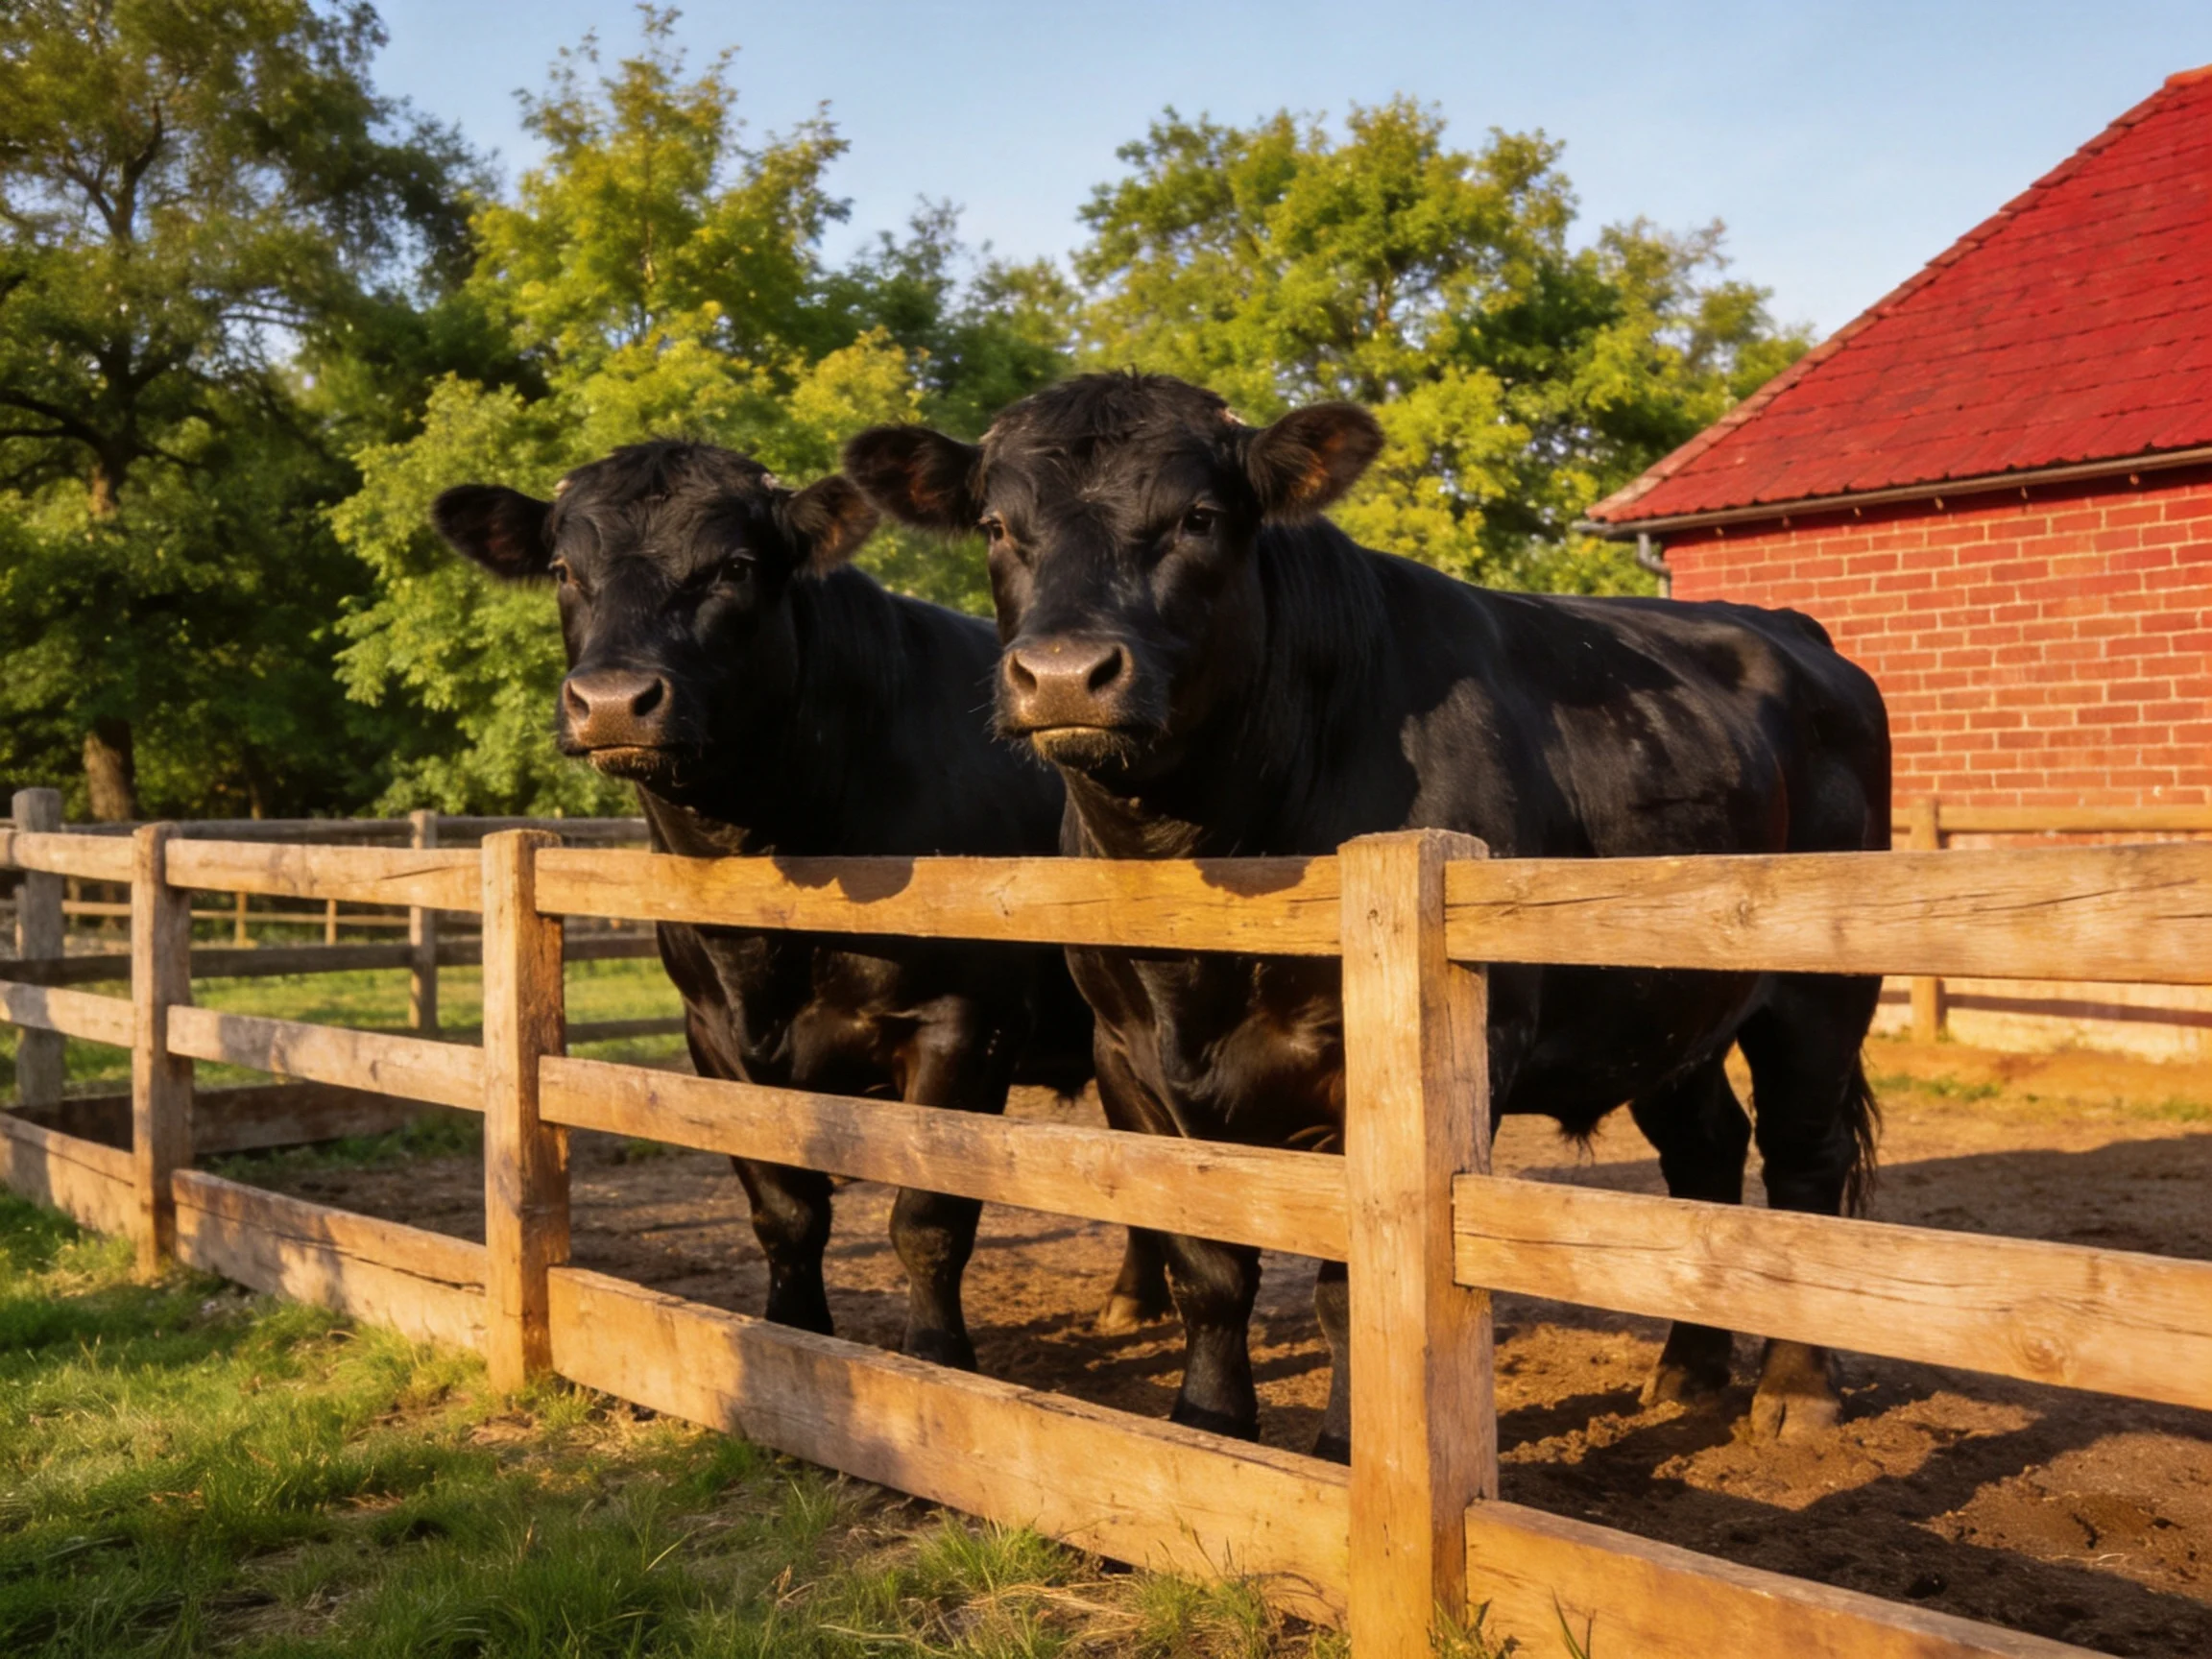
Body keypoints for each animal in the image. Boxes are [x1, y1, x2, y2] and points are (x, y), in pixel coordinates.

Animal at [431, 439, 1169, 1369]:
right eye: (565, 570)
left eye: (736, 567)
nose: (612, 701)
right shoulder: (712, 1033)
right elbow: (784, 1208)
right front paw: (791, 1338)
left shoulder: (967, 1021)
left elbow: (928, 1212)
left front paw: (937, 1359)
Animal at [845, 372, 1890, 1454]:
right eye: (997, 526)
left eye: (1199, 517)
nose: (1062, 674)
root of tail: (1788, 627)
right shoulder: (1127, 1058)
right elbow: (1206, 1267)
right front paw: (1209, 1425)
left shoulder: (1385, 1071)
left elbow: (1351, 1287)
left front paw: (1347, 1448)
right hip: (1663, 1008)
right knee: (1705, 1150)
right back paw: (1688, 1370)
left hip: (1819, 994)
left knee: (1803, 1159)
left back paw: (1794, 1393)